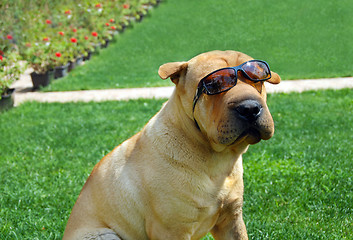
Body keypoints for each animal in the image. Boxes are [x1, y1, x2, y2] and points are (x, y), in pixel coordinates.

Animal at [62, 49, 280, 239]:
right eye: (215, 84)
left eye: (258, 78)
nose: (250, 108)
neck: (216, 160)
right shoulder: (172, 230)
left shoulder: (231, 220)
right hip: (104, 234)